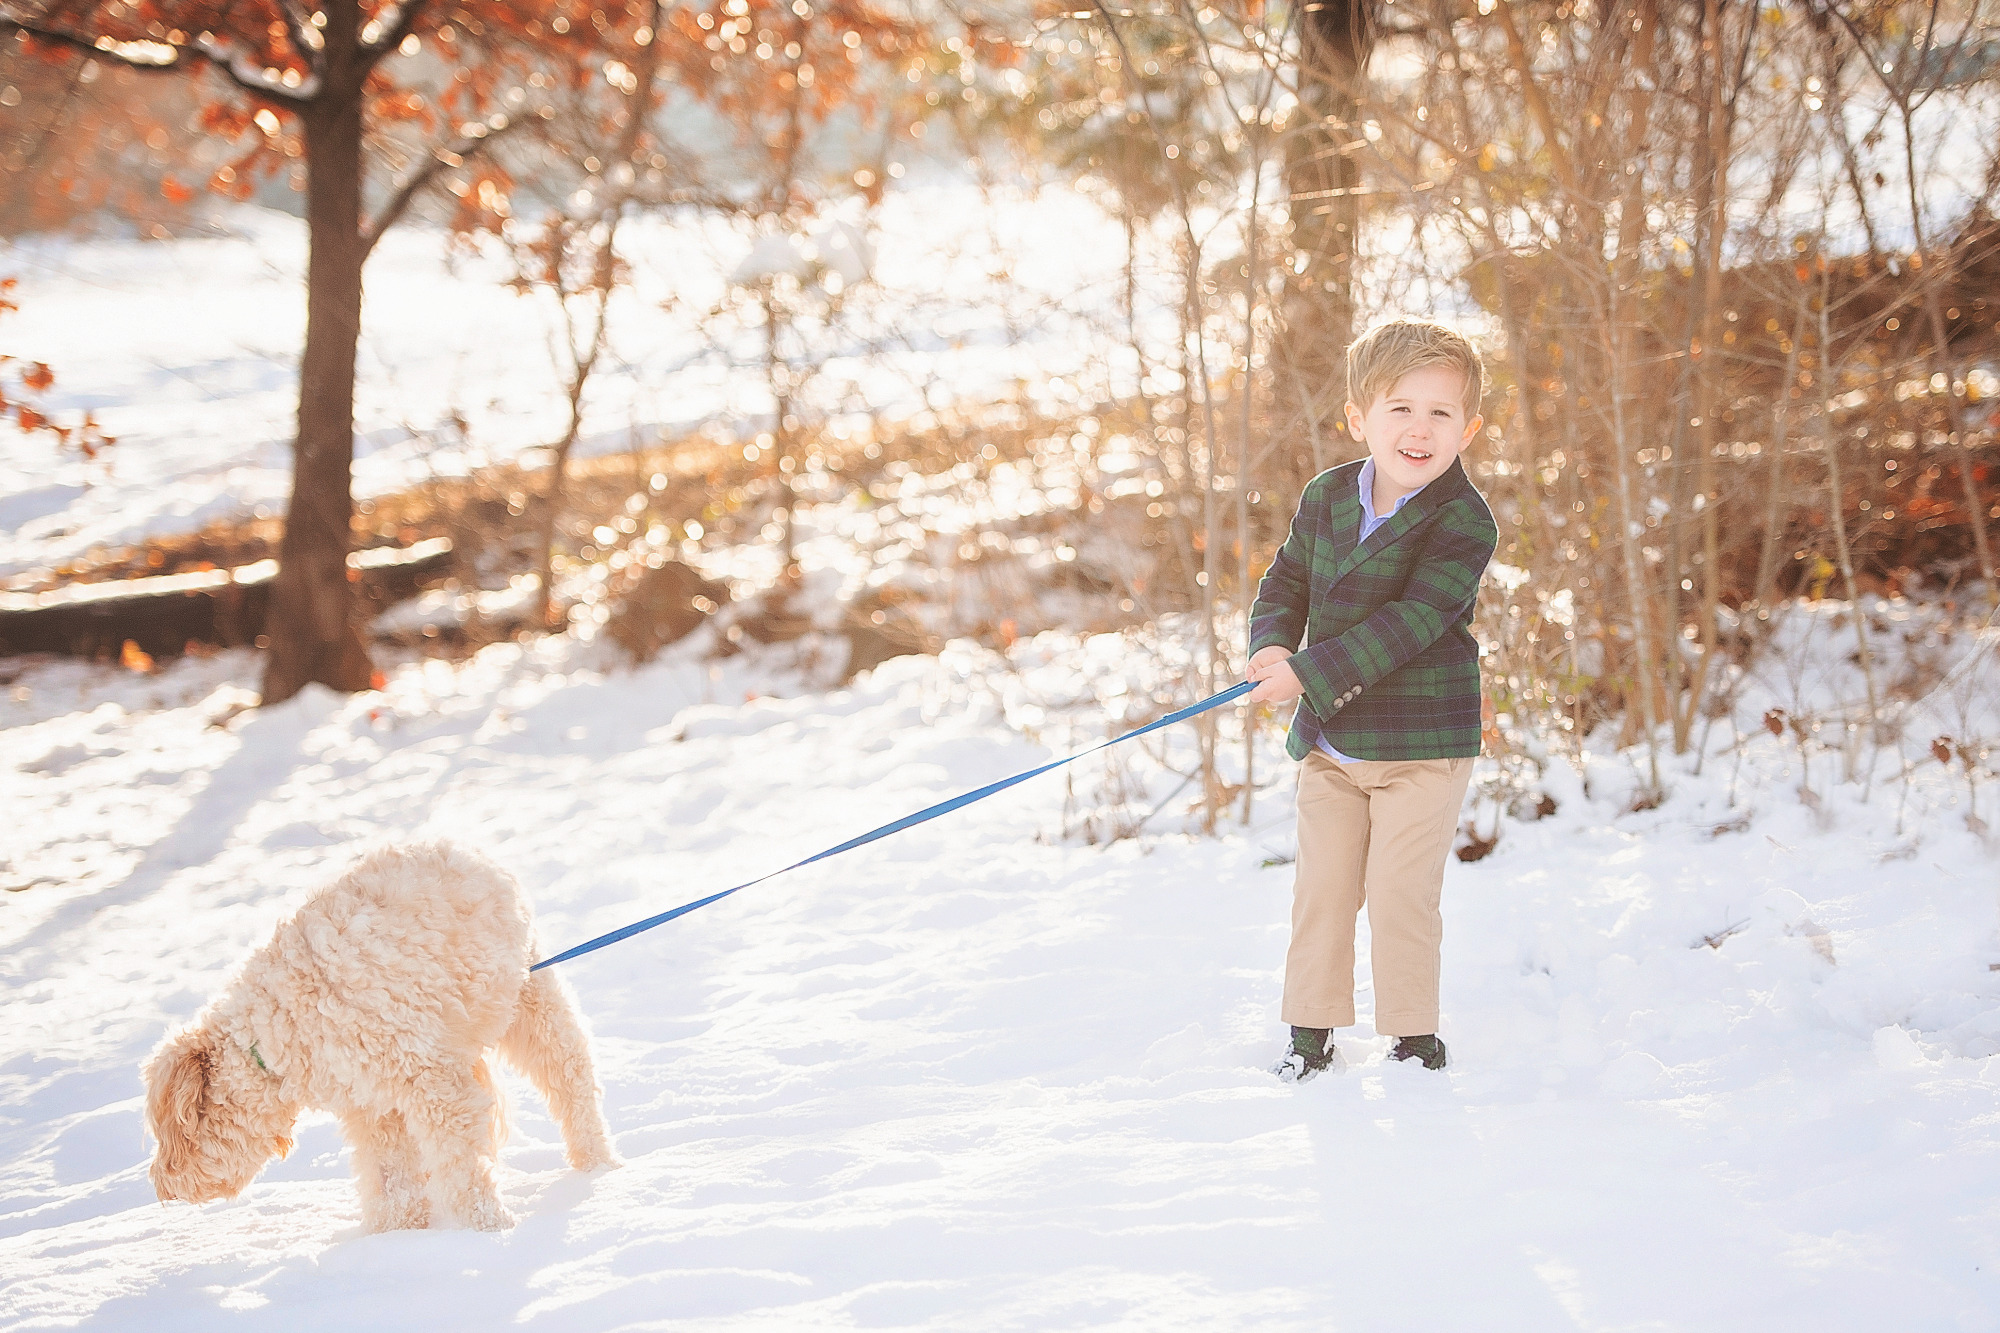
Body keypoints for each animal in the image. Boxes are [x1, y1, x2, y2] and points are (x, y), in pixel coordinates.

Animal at [143, 840, 616, 1224]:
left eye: (173, 1136)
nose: (162, 1187)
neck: (278, 1030)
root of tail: (470, 850)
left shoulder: (434, 1085)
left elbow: (461, 1166)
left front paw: (489, 1226)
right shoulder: (373, 1107)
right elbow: (392, 1180)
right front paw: (396, 1234)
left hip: (528, 1000)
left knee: (573, 1080)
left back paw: (598, 1166)